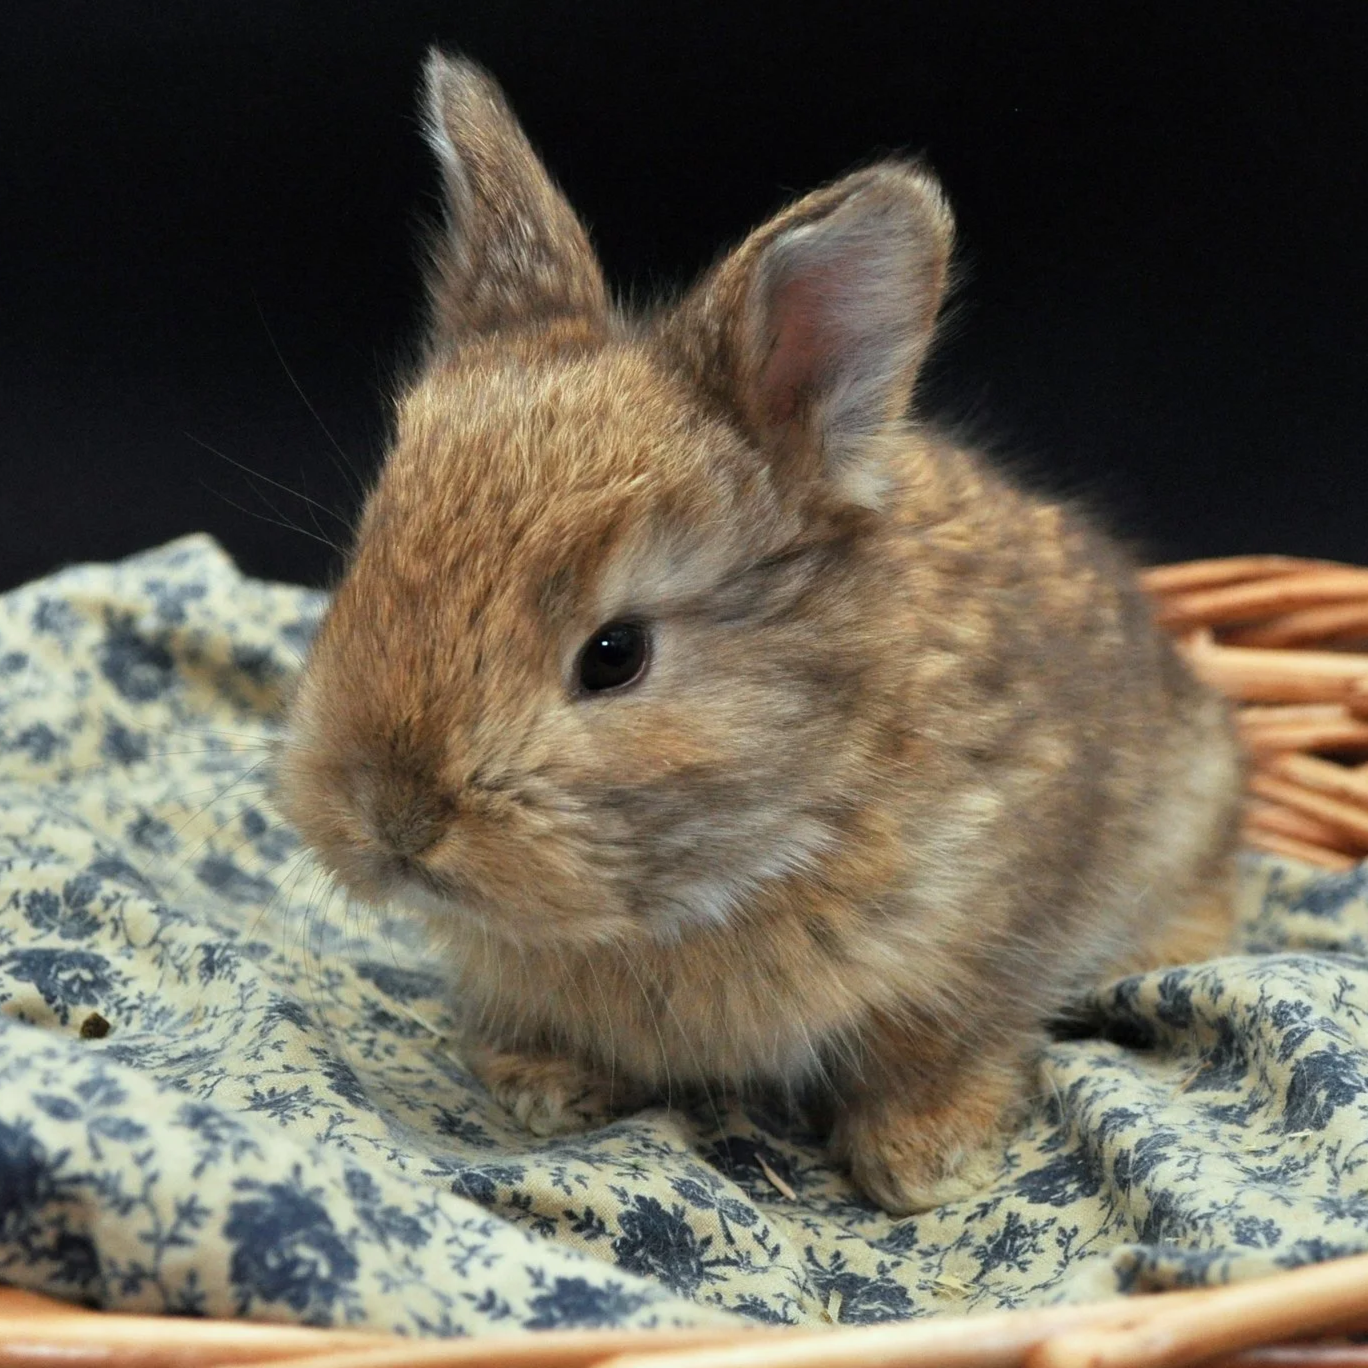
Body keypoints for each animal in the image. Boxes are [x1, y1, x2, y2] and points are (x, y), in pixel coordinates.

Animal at [272, 51, 1245, 1214]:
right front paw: (540, 1086)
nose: (395, 820)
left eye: (616, 655)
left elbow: (953, 1036)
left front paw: (925, 1164)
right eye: (365, 560)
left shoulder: (987, 925)